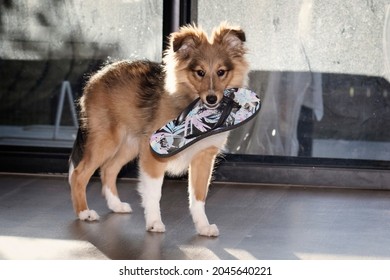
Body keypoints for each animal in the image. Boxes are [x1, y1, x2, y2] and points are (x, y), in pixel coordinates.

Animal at [68, 22, 248, 236]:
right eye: (200, 72)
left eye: (221, 72)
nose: (212, 99)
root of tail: (95, 78)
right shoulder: (153, 155)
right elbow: (154, 193)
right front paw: (154, 223)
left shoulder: (203, 157)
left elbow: (198, 196)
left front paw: (203, 226)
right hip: (107, 139)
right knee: (79, 174)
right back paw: (84, 212)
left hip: (129, 144)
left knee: (108, 169)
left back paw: (116, 205)